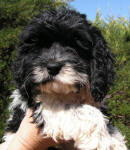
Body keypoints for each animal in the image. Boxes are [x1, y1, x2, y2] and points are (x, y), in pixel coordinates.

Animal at [2, 6, 127, 149]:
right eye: (39, 47)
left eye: (75, 46)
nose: (52, 67)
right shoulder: (42, 106)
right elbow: (80, 111)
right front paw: (102, 141)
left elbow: (111, 127)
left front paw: (116, 142)